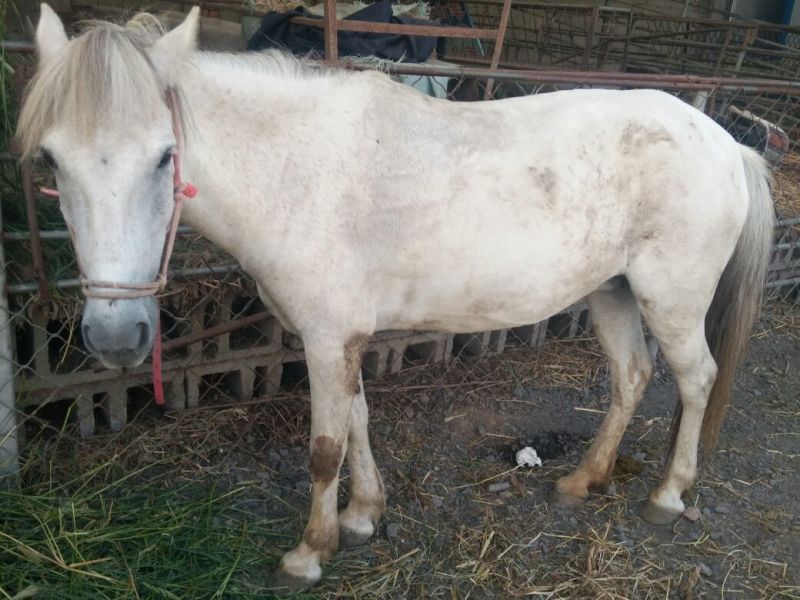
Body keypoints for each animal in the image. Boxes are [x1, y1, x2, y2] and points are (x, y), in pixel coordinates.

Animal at [18, 5, 774, 590]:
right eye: (51, 160)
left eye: (164, 156)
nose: (116, 337)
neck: (293, 171)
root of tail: (726, 144)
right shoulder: (341, 338)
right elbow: (357, 422)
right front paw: (361, 517)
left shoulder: (327, 339)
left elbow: (325, 446)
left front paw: (309, 554)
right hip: (612, 294)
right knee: (632, 378)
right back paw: (582, 481)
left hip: (670, 303)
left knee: (695, 380)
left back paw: (668, 496)